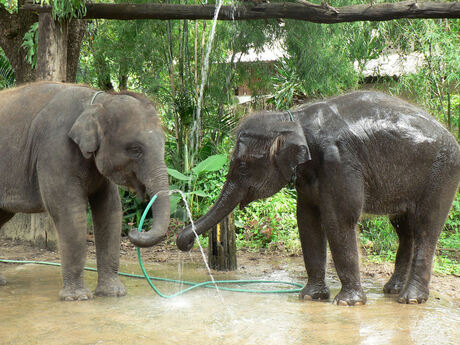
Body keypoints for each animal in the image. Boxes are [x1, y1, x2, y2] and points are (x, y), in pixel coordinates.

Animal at [0, 82, 169, 300]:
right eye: (135, 149)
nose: (134, 230)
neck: (98, 101)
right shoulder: (54, 150)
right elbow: (70, 212)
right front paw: (77, 297)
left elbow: (110, 211)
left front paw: (113, 293)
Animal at [177, 90, 460, 304]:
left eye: (244, 166)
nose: (184, 243)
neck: (292, 119)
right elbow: (307, 221)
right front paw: (310, 297)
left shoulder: (339, 161)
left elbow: (339, 220)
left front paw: (347, 303)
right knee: (403, 228)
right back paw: (392, 290)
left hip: (443, 173)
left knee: (426, 227)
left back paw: (410, 299)